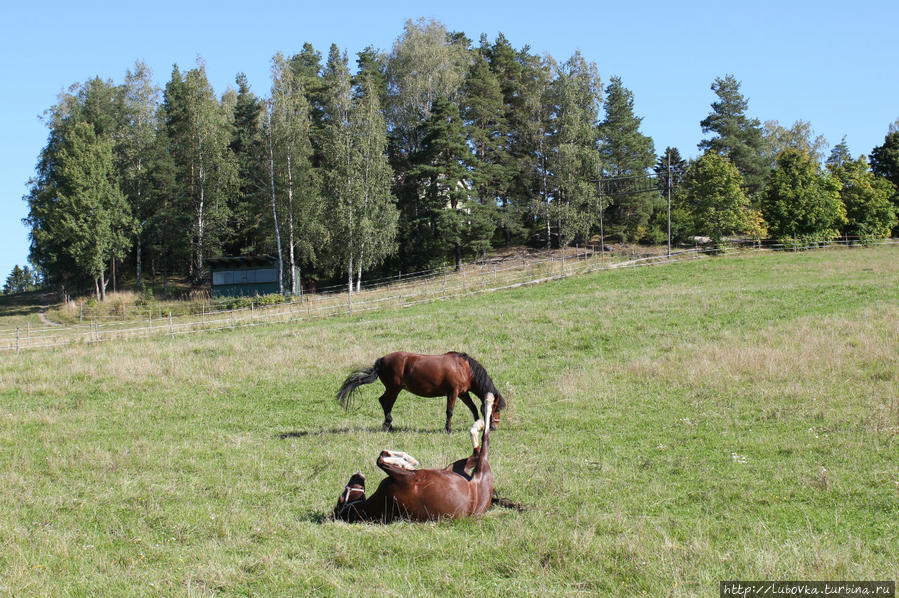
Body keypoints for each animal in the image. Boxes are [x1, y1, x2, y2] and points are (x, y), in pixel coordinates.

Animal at [332, 396, 496, 524]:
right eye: (342, 496)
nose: (357, 474)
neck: (378, 505)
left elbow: (382, 454)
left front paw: (408, 460)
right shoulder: (407, 479)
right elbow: (380, 460)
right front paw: (404, 462)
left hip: (451, 467)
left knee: (475, 452)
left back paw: (478, 423)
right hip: (480, 469)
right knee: (484, 444)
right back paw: (487, 404)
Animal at [338, 352, 506, 432]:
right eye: (496, 409)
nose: (495, 427)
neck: (464, 368)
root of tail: (381, 360)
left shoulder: (463, 393)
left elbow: (472, 408)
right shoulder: (453, 392)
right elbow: (450, 411)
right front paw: (448, 430)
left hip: (394, 389)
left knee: (385, 402)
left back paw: (389, 425)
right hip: (394, 389)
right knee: (385, 402)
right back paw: (387, 425)